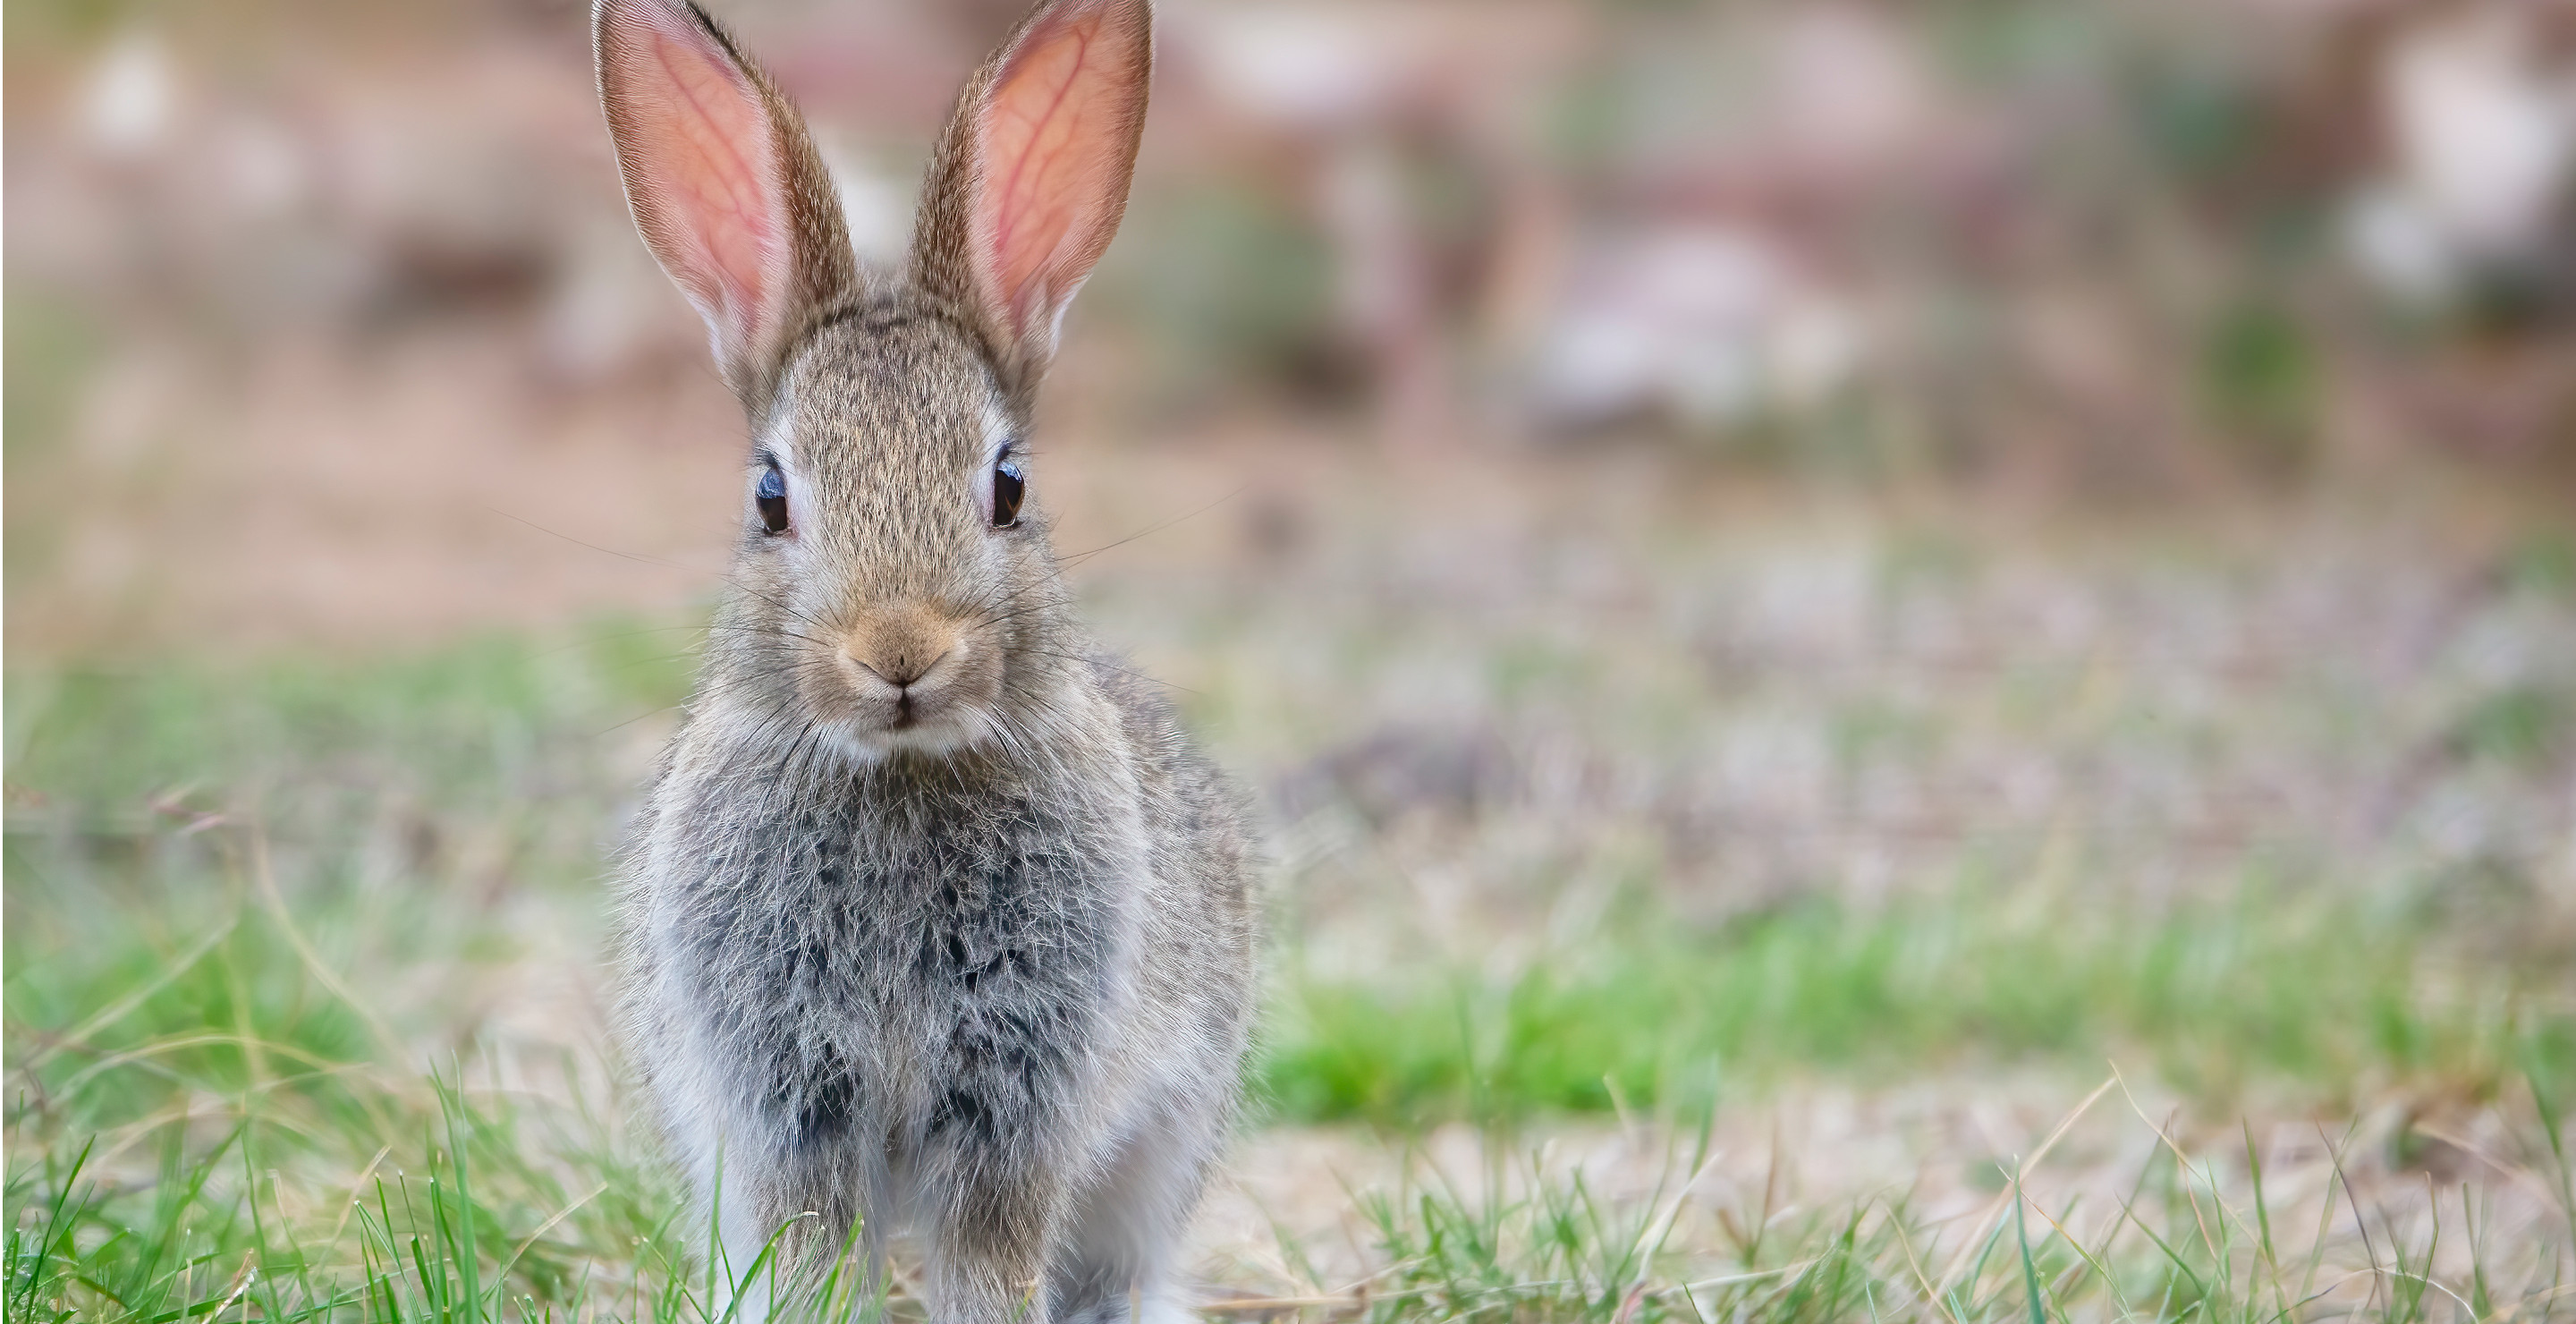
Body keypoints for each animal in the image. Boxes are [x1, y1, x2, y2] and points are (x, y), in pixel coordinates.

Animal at [589, 0, 1258, 1321]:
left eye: (1010, 486)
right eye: (771, 496)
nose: (900, 651)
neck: (898, 775)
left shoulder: (1019, 1102)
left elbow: (991, 1264)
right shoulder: (785, 1108)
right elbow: (806, 1261)